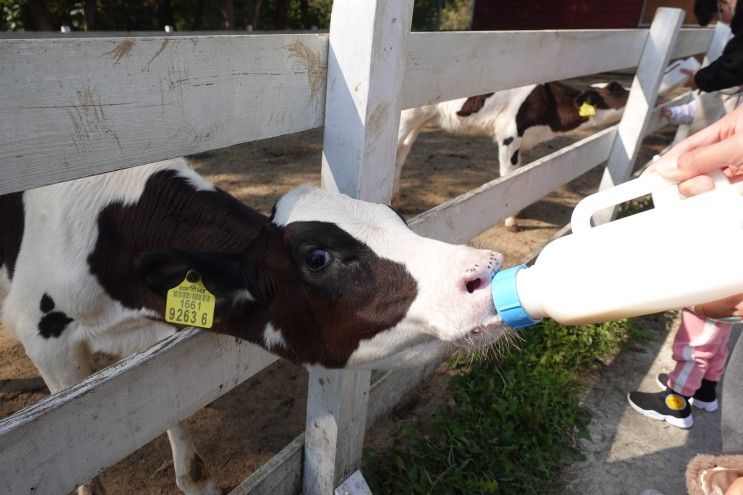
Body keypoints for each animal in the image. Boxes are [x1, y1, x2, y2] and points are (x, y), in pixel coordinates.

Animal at [0, 158, 508, 495]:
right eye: (317, 257)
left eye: (397, 217)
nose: (485, 268)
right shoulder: (46, 342)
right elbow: (86, 469)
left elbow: (169, 413)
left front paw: (196, 482)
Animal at [396, 80, 628, 230]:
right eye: (617, 91)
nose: (632, 92)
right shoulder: (509, 137)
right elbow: (507, 177)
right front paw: (511, 222)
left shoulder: (520, 145)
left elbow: (518, 173)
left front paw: (519, 211)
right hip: (406, 119)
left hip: (419, 121)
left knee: (401, 153)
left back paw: (396, 197)